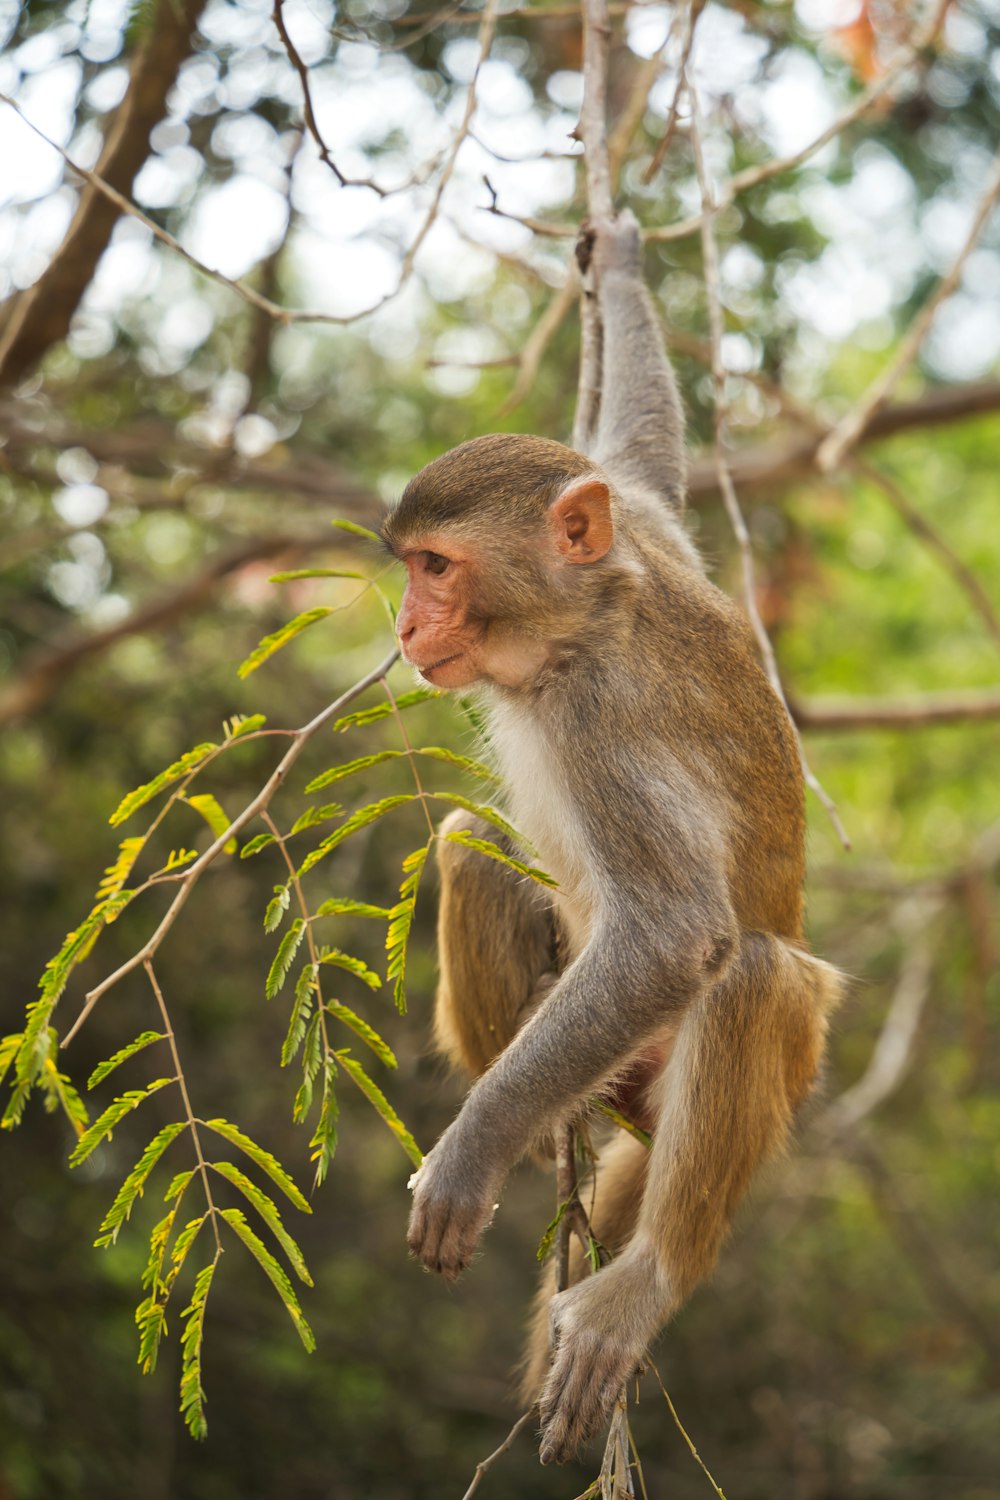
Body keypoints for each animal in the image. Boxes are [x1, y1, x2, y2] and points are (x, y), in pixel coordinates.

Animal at [383, 211, 845, 1464]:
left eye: (435, 568)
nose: (402, 623)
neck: (571, 632)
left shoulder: (606, 724)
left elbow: (676, 935)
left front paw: (474, 1148)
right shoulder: (639, 521)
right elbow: (636, 455)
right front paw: (622, 264)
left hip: (788, 1060)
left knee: (753, 971)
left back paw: (640, 1277)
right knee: (471, 840)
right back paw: (557, 1128)